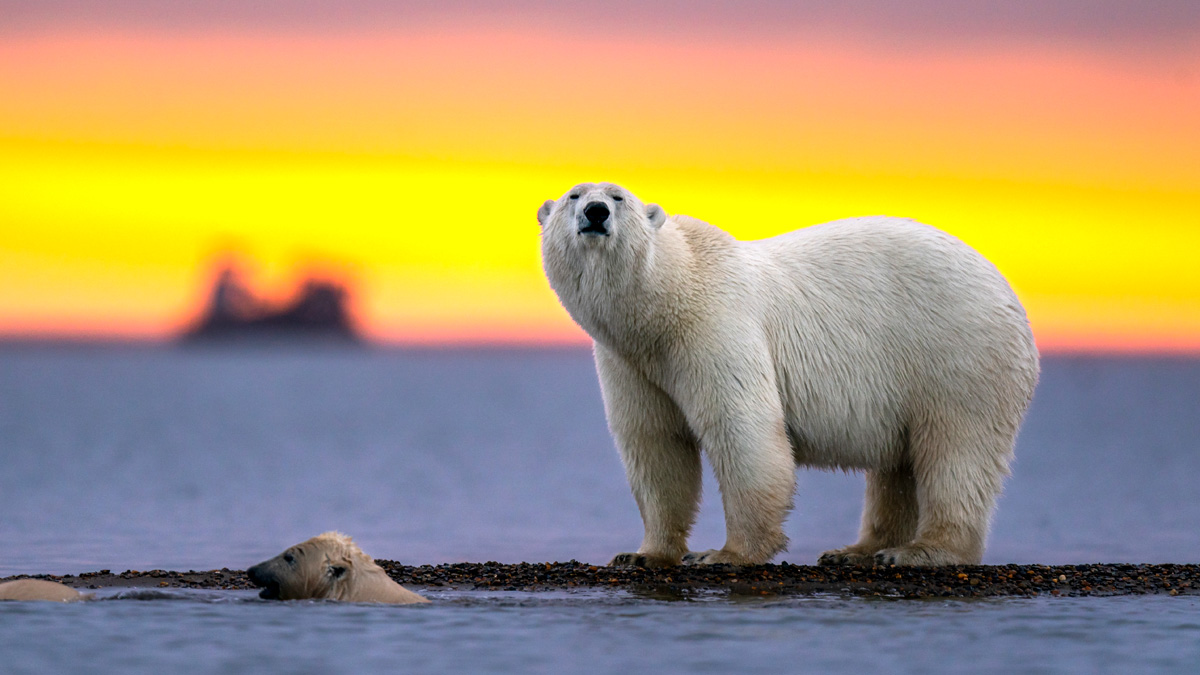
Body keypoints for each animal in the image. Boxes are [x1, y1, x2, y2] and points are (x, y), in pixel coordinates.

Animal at [540, 181, 1036, 564]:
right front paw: (642, 554)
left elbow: (743, 429)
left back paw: (920, 551)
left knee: (956, 450)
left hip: (958, 353)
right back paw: (856, 550)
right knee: (898, 466)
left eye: (619, 196)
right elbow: (655, 444)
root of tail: (1009, 292)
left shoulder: (716, 326)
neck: (664, 302)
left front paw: (725, 554)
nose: (596, 212)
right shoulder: (630, 362)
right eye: (573, 195)